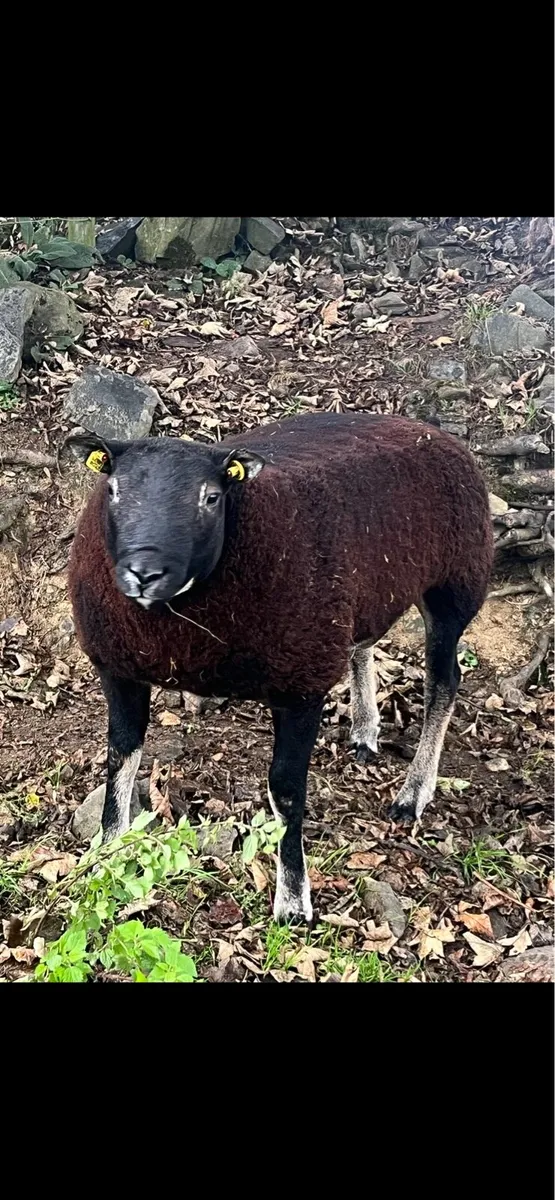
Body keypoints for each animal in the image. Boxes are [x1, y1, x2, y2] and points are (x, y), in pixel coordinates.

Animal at [67, 412, 493, 923]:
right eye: (113, 489)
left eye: (212, 497)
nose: (144, 573)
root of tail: (428, 428)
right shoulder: (119, 666)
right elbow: (121, 758)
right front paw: (106, 856)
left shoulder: (300, 685)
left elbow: (286, 790)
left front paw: (293, 900)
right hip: (364, 593)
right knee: (363, 643)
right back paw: (365, 729)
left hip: (455, 583)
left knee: (444, 682)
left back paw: (414, 793)